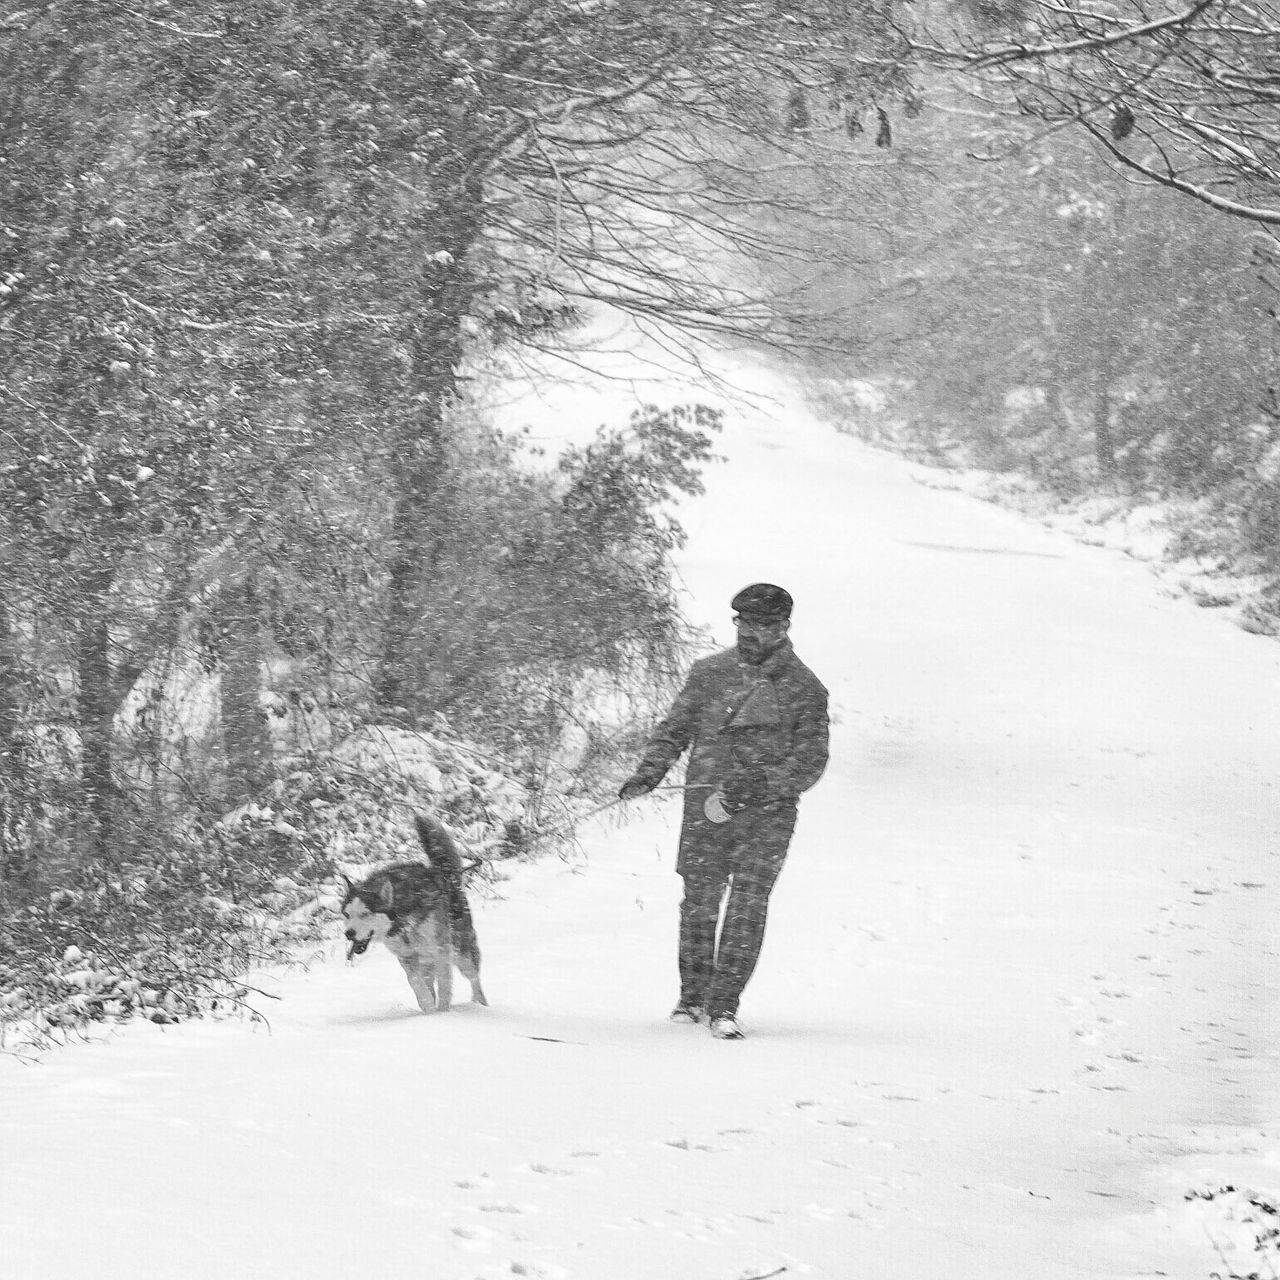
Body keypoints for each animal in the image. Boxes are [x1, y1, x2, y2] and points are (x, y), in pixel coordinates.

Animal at [343, 814, 486, 1013]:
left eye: (365, 913)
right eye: (347, 915)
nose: (348, 933)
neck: (404, 921)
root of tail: (447, 876)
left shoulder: (442, 951)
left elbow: (444, 985)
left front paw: (443, 1012)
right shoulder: (407, 957)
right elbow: (415, 982)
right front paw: (428, 1009)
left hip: (462, 954)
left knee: (474, 978)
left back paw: (479, 1004)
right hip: (427, 961)